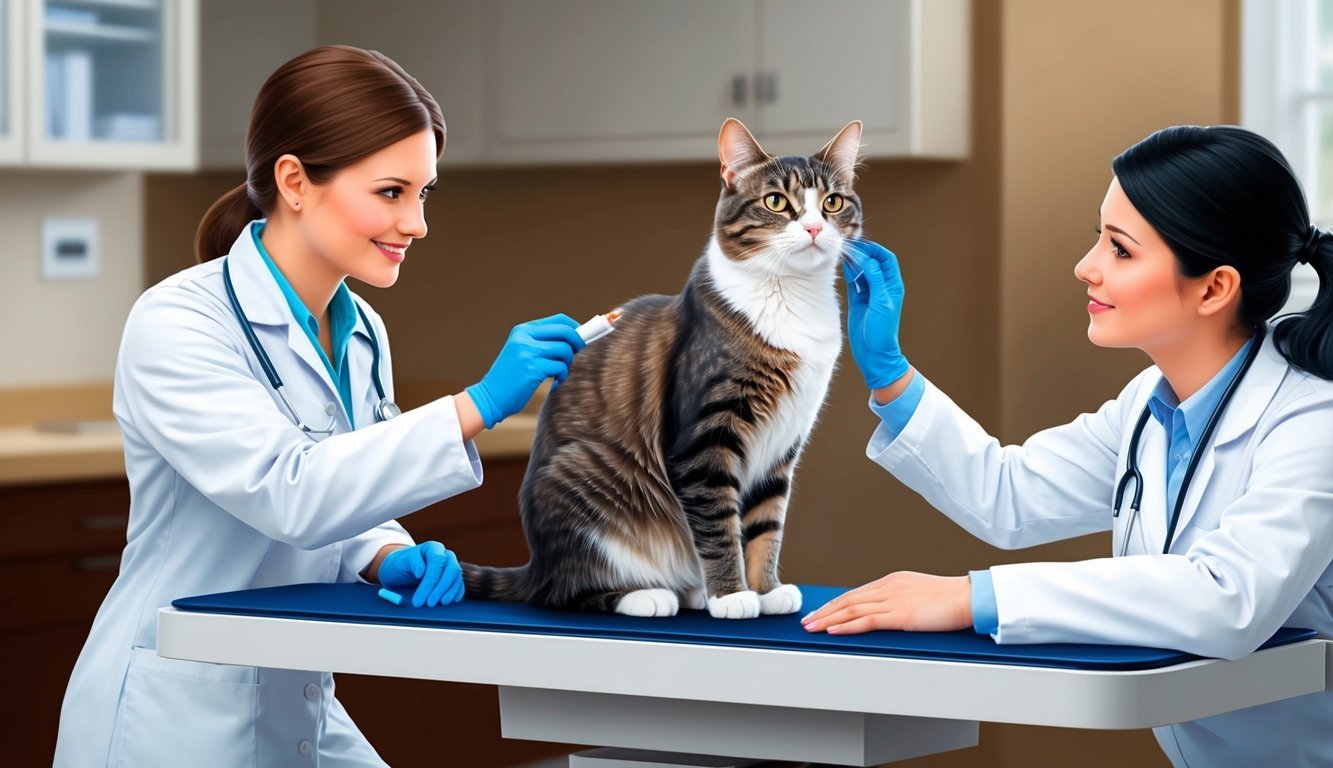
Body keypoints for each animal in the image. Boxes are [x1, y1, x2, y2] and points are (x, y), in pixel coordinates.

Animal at [463, 117, 863, 618]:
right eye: (776, 201)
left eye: (832, 202)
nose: (812, 227)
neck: (791, 297)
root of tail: (536, 564)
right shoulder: (704, 438)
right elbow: (718, 524)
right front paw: (733, 595)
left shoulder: (783, 444)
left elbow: (765, 525)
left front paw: (766, 589)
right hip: (581, 479)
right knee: (563, 591)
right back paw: (649, 595)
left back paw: (692, 592)